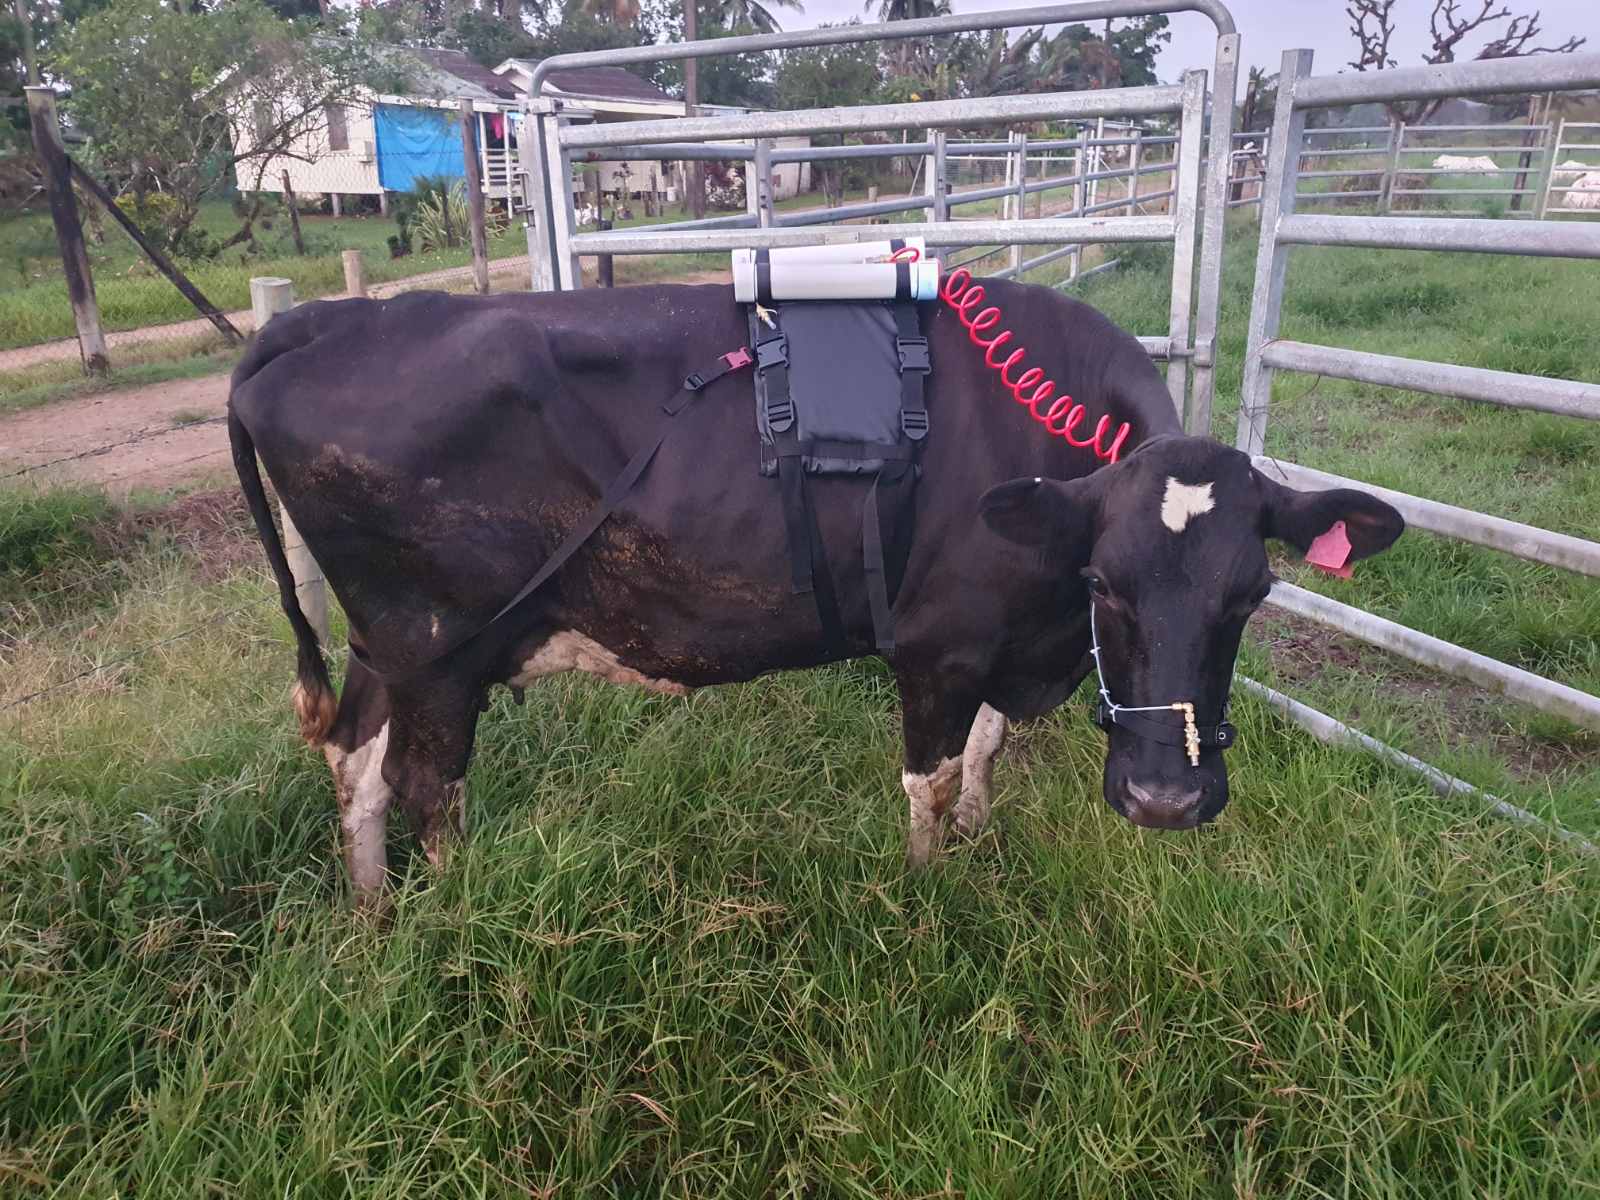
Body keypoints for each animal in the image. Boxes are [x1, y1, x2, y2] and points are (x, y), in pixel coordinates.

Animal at [228, 284, 1401, 902]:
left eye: (1251, 592)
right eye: (1104, 582)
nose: (1165, 801)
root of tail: (334, 320)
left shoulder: (1001, 640)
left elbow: (985, 747)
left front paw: (981, 830)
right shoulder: (936, 646)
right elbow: (932, 779)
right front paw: (928, 894)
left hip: (391, 647)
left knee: (356, 762)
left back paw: (375, 913)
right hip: (440, 645)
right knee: (429, 788)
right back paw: (452, 917)